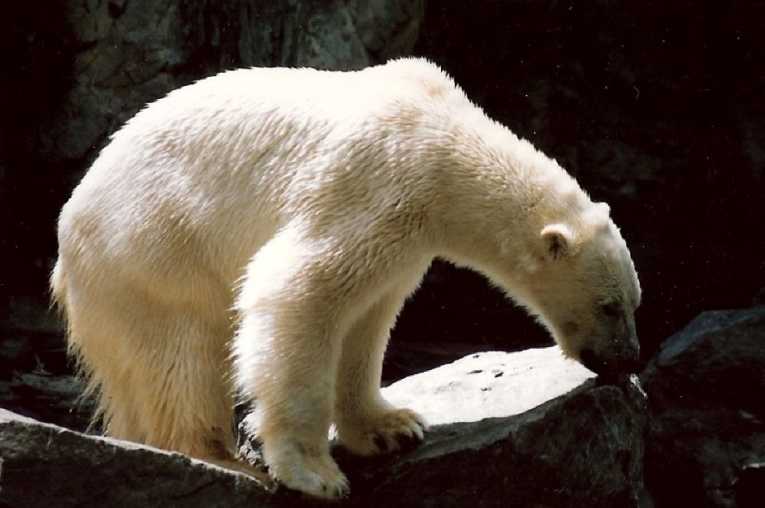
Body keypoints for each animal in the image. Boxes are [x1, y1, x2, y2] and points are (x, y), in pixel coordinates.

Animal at [51, 58, 641, 499]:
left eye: (635, 303)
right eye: (610, 306)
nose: (629, 360)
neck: (447, 145)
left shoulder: (404, 240)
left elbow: (367, 318)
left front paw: (392, 427)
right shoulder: (375, 184)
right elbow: (299, 293)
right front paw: (313, 473)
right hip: (152, 252)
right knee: (183, 354)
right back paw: (223, 458)